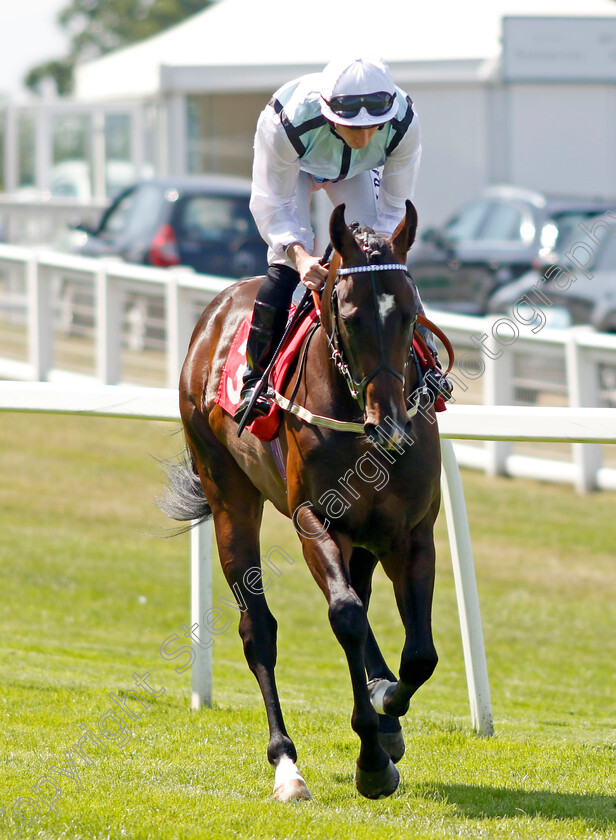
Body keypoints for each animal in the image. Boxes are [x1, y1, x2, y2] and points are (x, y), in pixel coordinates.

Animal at [162, 200, 442, 804]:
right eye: (350, 316)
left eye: (411, 314)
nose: (390, 426)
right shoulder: (316, 519)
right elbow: (345, 617)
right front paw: (371, 759)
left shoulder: (410, 531)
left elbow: (419, 655)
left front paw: (386, 708)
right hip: (229, 498)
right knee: (259, 631)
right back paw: (286, 765)